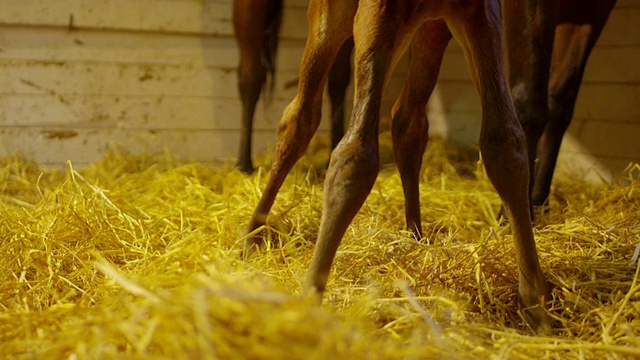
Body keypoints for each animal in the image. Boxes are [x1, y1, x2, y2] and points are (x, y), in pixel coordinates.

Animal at [231, 0, 352, 174]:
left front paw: (333, 156)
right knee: (251, 77)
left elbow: (338, 79)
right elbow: (251, 78)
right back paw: (245, 163)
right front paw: (244, 164)